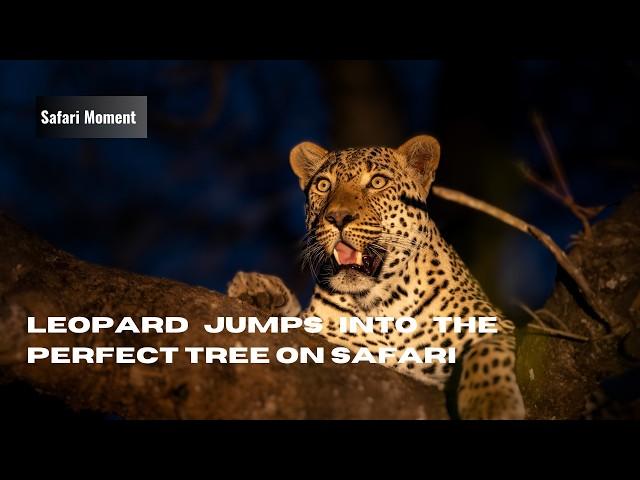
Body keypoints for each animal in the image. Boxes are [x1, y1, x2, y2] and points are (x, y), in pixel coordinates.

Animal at [228, 135, 528, 420]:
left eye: (377, 182)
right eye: (323, 185)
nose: (337, 217)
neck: (380, 304)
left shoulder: (494, 321)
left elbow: (486, 351)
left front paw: (491, 403)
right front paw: (258, 290)